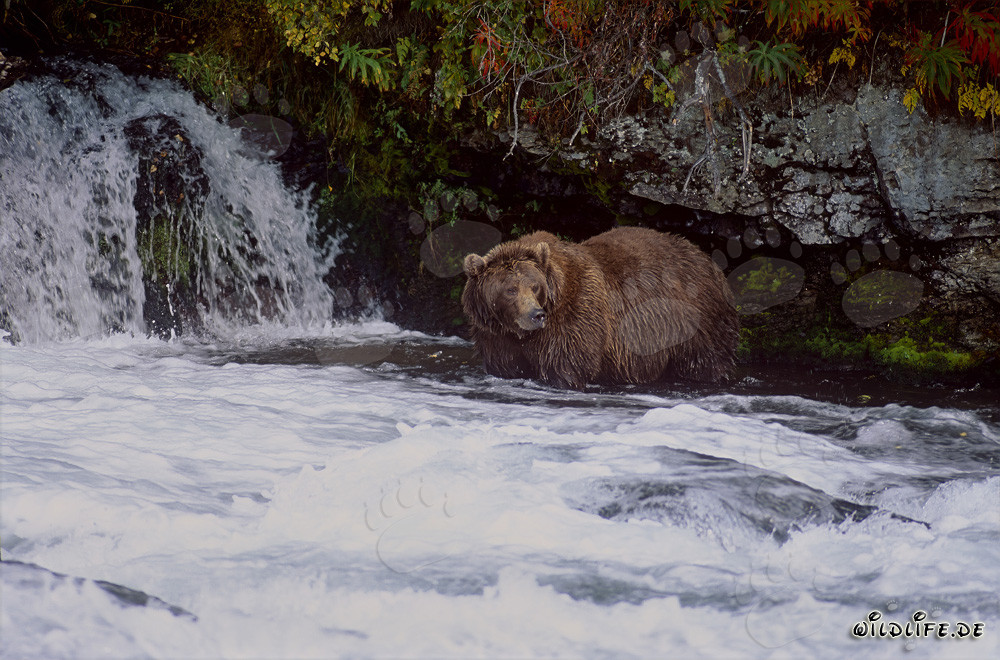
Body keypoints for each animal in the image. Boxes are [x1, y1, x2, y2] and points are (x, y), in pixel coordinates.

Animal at [461, 226, 739, 390]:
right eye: (510, 289)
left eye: (535, 286)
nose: (535, 315)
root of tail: (710, 262)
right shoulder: (497, 338)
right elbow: (506, 366)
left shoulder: (578, 315)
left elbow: (567, 365)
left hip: (698, 321)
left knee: (705, 361)